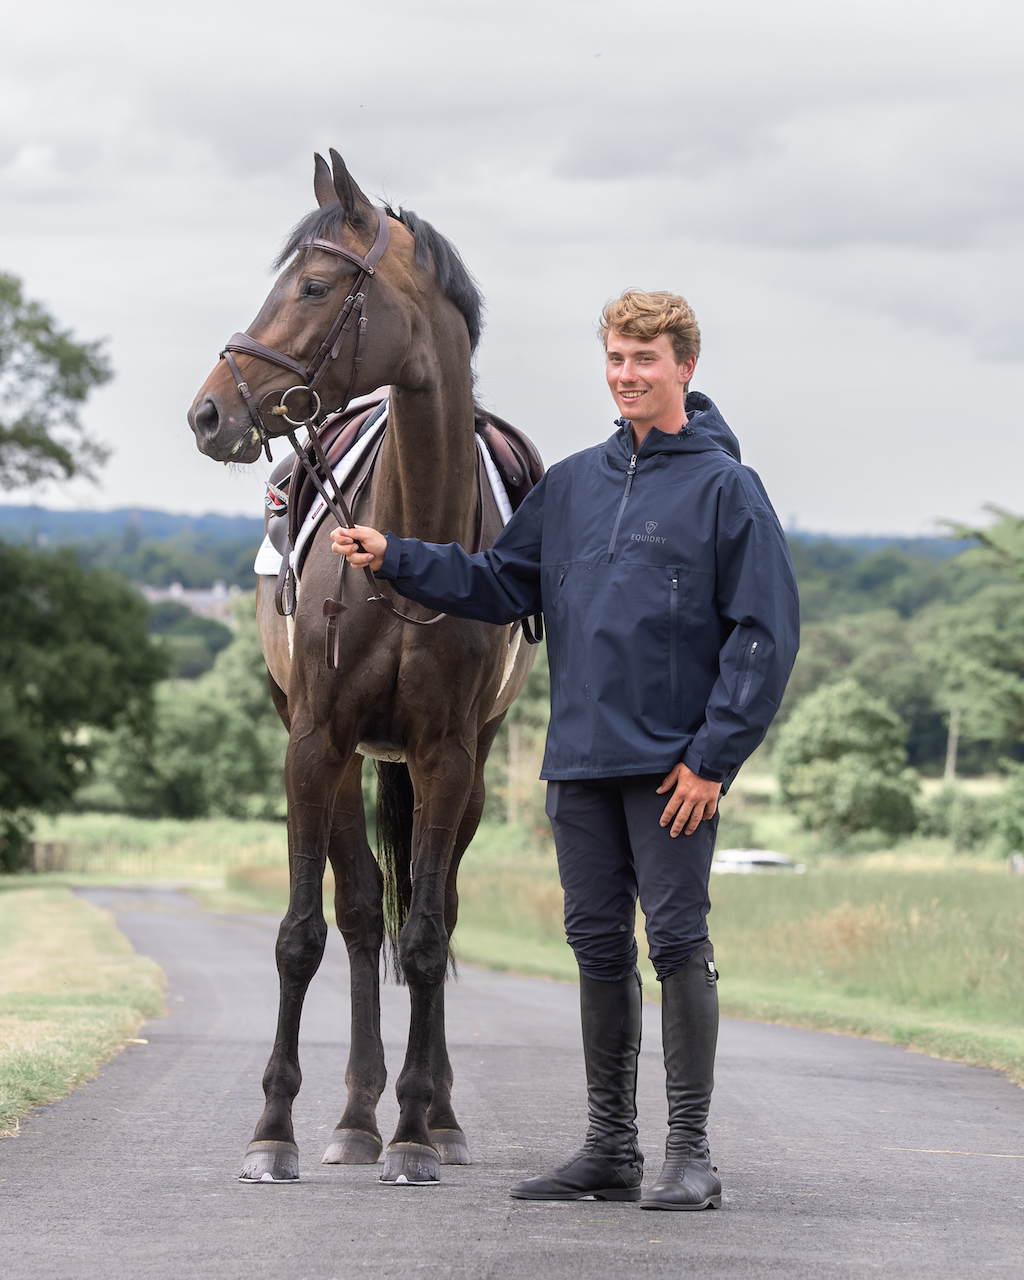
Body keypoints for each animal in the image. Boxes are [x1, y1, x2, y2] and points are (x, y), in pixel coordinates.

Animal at [187, 150, 539, 1185]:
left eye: (312, 286)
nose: (208, 411)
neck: (410, 535)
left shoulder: (447, 757)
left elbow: (425, 938)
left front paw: (418, 1132)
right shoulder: (314, 744)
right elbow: (303, 933)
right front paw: (274, 1130)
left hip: (460, 771)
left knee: (432, 911)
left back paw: (432, 1115)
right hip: (342, 761)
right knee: (354, 915)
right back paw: (350, 1115)